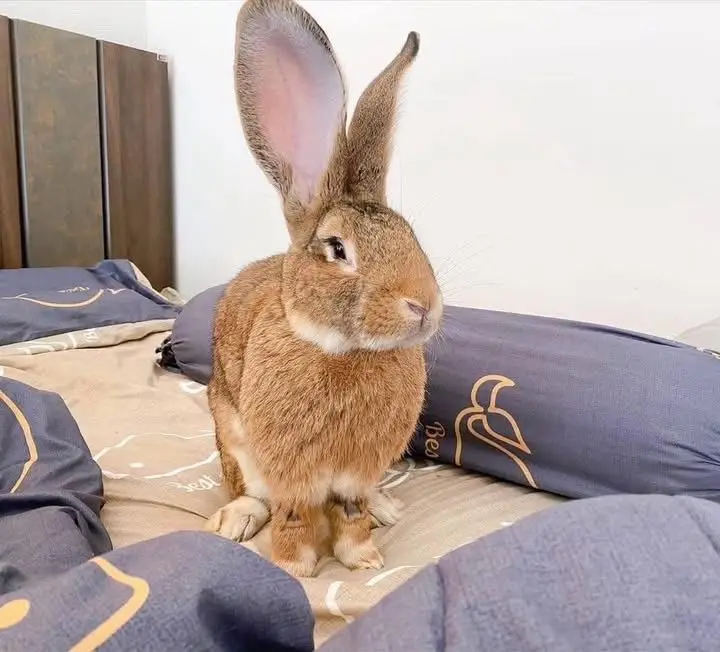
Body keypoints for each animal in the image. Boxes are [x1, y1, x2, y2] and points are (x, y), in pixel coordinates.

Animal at [204, 0, 443, 578]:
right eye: (336, 249)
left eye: (410, 235)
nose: (423, 306)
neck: (342, 350)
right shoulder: (291, 468)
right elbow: (292, 514)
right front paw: (297, 569)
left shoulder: (357, 469)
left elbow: (351, 509)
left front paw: (364, 560)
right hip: (231, 439)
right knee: (251, 492)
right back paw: (236, 520)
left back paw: (386, 508)